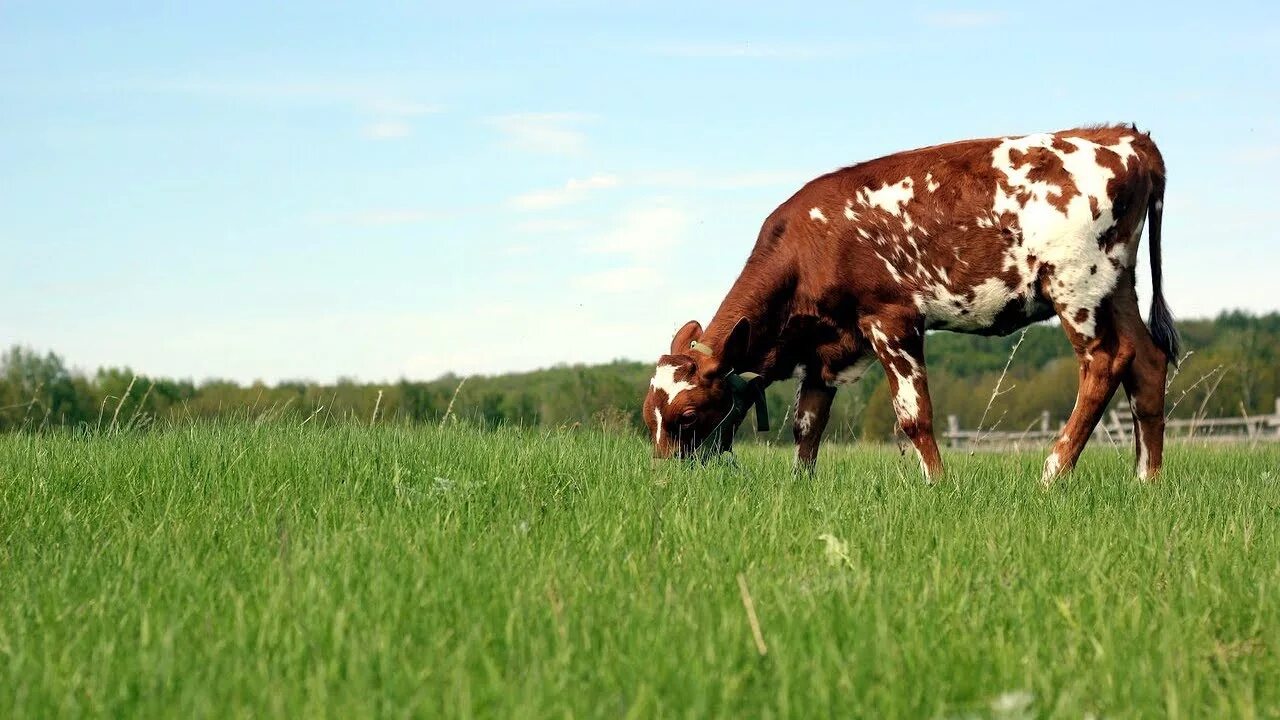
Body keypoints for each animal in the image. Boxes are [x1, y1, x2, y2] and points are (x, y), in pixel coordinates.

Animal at [640, 124, 1177, 481]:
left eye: (688, 416)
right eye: (650, 417)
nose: (664, 478)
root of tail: (1124, 137)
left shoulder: (891, 319)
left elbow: (913, 416)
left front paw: (938, 485)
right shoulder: (825, 351)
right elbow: (806, 426)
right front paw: (799, 487)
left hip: (1076, 283)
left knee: (1105, 363)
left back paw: (1053, 472)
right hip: (1118, 285)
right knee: (1147, 362)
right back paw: (1145, 482)